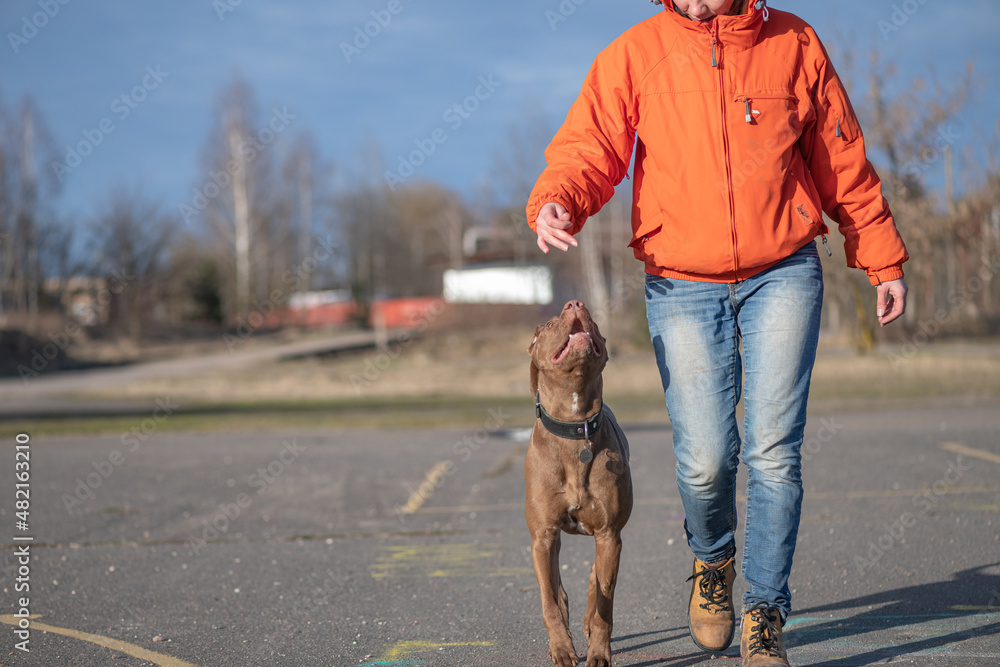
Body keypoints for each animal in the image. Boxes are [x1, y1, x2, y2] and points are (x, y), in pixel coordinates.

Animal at [524, 302, 632, 667]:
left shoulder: (609, 533)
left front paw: (598, 653)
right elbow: (549, 602)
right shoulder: (543, 537)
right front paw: (561, 648)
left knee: (595, 578)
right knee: (558, 589)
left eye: (595, 323)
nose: (575, 304)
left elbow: (604, 603)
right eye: (550, 324)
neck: (575, 426)